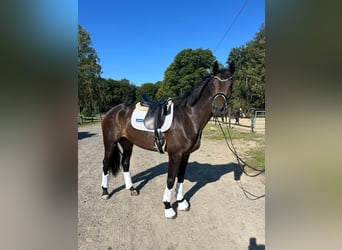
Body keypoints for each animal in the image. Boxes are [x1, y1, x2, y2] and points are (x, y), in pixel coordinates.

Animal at [100, 61, 234, 219]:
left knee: (125, 163)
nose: (218, 108)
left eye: (230, 84)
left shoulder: (186, 154)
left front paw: (181, 202)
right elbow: (170, 179)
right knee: (105, 164)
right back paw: (105, 192)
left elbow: (180, 177)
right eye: (213, 84)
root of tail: (112, 111)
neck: (187, 117)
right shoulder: (175, 154)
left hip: (127, 143)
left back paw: (131, 189)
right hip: (110, 143)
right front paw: (168, 207)